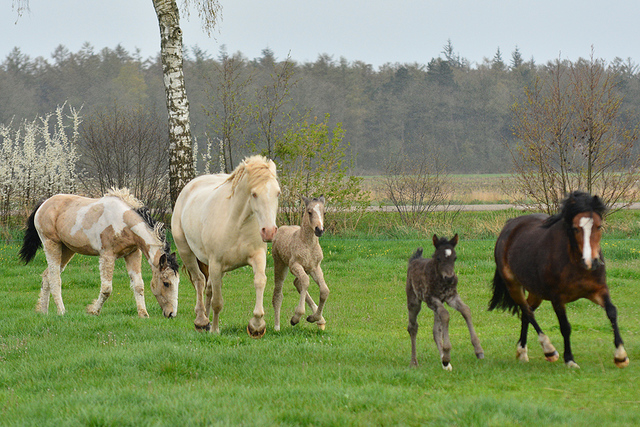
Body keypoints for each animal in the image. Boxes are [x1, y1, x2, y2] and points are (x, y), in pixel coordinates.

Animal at [19, 190, 180, 318]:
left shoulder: (133, 254)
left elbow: (139, 285)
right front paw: (93, 311)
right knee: (54, 279)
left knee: (46, 275)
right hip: (51, 245)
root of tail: (43, 204)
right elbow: (107, 289)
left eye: (177, 282)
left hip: (67, 249)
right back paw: (62, 312)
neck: (122, 222)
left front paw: (143, 314)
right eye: (166, 283)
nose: (171, 314)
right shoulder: (107, 255)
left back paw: (43, 312)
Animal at [171, 155, 278, 340]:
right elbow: (217, 302)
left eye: (278, 193)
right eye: (254, 194)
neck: (237, 222)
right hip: (187, 252)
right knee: (199, 280)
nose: (269, 231)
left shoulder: (257, 257)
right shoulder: (216, 264)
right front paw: (215, 329)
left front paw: (257, 325)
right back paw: (201, 320)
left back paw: (205, 321)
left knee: (207, 287)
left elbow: (259, 281)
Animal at [272, 196, 330, 332]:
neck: (308, 244)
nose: (319, 230)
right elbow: (305, 281)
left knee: (297, 283)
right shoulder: (294, 265)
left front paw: (313, 317)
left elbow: (324, 290)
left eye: (324, 213)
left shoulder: (315, 267)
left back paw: (320, 320)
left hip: (306, 269)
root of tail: (281, 228)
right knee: (278, 294)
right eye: (309, 212)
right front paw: (296, 318)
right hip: (280, 264)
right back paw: (277, 327)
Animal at [408, 234, 482, 372]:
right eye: (438, 257)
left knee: (436, 330)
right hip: (413, 300)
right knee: (413, 327)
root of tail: (414, 260)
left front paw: (478, 350)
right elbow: (446, 314)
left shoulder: (451, 297)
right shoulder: (431, 299)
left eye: (455, 257)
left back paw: (445, 363)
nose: (450, 278)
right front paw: (447, 353)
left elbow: (465, 310)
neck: (441, 280)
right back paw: (414, 362)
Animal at [490, 192, 632, 370]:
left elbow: (612, 312)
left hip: (536, 292)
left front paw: (620, 356)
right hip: (513, 285)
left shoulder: (599, 290)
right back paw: (549, 350)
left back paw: (522, 352)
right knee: (527, 312)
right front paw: (570, 360)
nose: (591, 262)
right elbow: (565, 326)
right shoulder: (557, 298)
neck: (576, 263)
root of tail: (509, 225)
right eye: (575, 228)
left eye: (599, 226)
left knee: (526, 312)